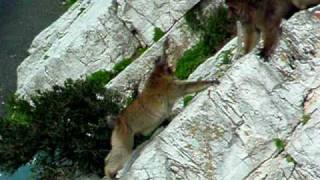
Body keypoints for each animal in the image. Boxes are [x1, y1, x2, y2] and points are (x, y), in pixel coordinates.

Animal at [102, 39, 220, 179]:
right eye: (165, 61)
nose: (171, 66)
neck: (158, 75)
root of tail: (118, 121)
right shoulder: (169, 87)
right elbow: (187, 87)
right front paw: (211, 82)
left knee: (114, 152)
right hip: (124, 136)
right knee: (121, 152)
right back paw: (109, 172)